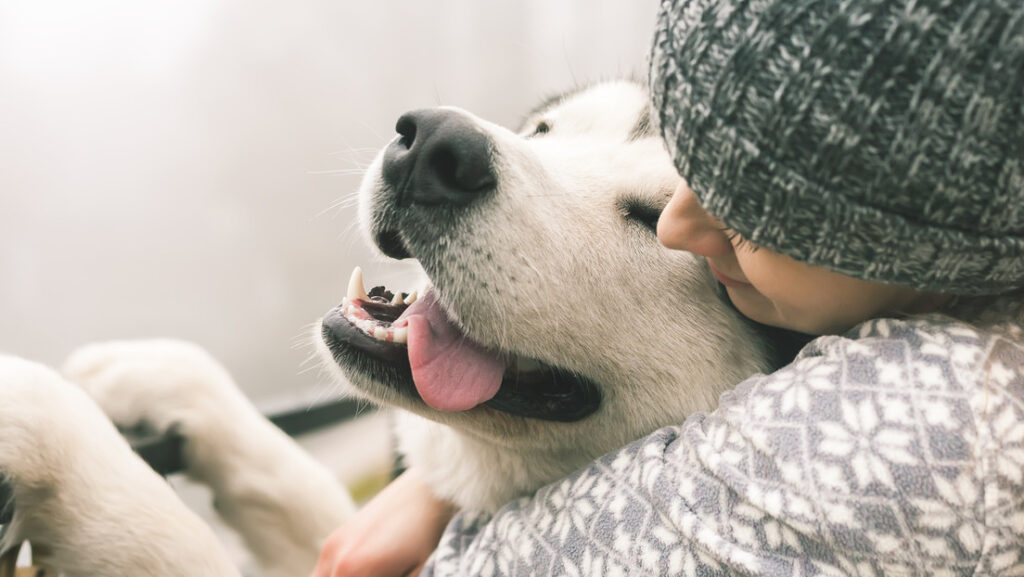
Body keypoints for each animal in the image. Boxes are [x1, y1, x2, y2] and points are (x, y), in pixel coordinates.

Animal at [0, 78, 774, 573]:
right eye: (544, 130)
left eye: (655, 218)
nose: (434, 145)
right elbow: (298, 484)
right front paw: (161, 377)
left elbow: (161, 530)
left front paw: (37, 411)